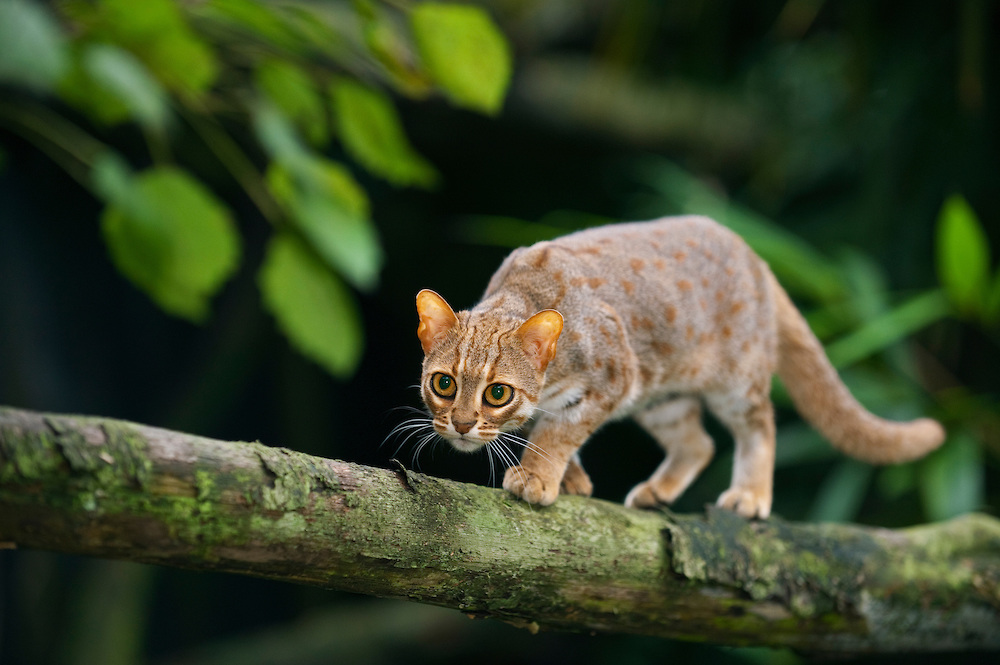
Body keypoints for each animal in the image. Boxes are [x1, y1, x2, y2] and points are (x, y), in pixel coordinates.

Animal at [410, 215, 940, 516]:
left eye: (497, 393)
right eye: (443, 383)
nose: (461, 424)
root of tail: (756, 257)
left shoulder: (613, 378)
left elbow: (558, 431)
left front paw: (538, 476)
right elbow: (552, 425)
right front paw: (571, 478)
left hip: (735, 381)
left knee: (760, 426)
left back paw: (750, 496)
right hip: (661, 395)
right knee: (699, 442)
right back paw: (659, 490)